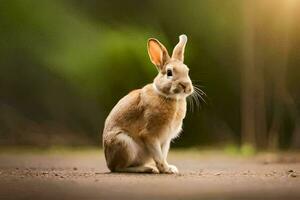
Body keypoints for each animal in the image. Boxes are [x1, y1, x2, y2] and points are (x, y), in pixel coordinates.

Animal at [102, 34, 193, 173]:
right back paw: (146, 169)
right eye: (169, 73)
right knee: (119, 168)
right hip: (124, 144)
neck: (169, 97)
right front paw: (167, 170)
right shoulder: (150, 135)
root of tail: (108, 162)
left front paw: (170, 168)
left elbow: (163, 154)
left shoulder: (166, 140)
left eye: (187, 71)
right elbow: (158, 156)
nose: (186, 86)